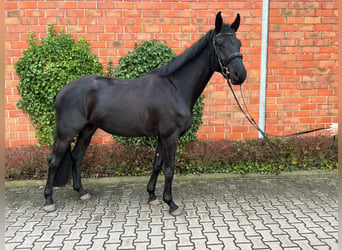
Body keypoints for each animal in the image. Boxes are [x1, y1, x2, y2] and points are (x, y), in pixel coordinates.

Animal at [43, 11, 246, 215]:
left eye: (238, 43)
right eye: (219, 44)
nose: (240, 75)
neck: (175, 88)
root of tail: (62, 91)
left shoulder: (162, 137)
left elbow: (156, 165)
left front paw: (152, 196)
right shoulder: (170, 136)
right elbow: (169, 169)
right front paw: (171, 204)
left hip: (88, 129)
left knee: (77, 156)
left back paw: (82, 192)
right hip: (66, 132)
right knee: (54, 160)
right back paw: (48, 200)